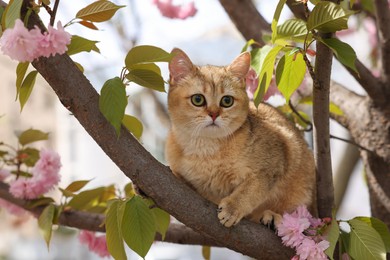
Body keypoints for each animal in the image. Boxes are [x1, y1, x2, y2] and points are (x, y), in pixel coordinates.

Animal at [165, 48, 316, 228]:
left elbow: (251, 190)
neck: (207, 151)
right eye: (197, 99)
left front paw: (233, 207)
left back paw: (272, 216)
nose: (214, 114)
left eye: (227, 101)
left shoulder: (274, 162)